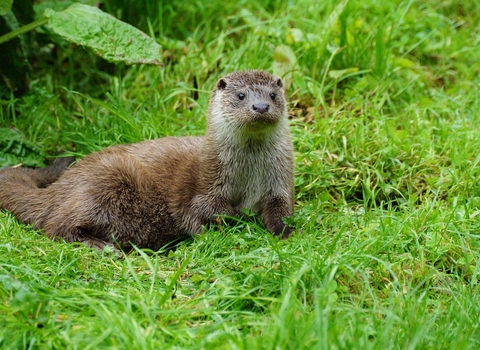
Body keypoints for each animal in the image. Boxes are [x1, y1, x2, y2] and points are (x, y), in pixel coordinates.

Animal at [0, 70, 294, 252]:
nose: (261, 107)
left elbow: (281, 210)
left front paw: (286, 232)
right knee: (57, 226)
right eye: (241, 95)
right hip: (108, 181)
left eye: (272, 95)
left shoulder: (279, 183)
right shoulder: (209, 184)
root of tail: (60, 187)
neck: (248, 174)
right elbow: (206, 211)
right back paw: (103, 247)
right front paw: (237, 219)